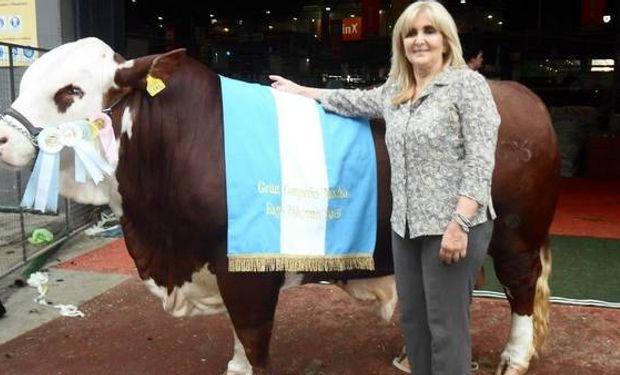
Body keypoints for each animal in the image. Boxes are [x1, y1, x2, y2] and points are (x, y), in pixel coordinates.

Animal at [0, 39, 560, 375]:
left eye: (71, 91)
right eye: (25, 82)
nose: (4, 138)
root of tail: (519, 93)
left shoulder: (245, 268)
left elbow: (251, 332)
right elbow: (237, 335)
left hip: (515, 235)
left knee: (520, 288)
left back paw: (513, 357)